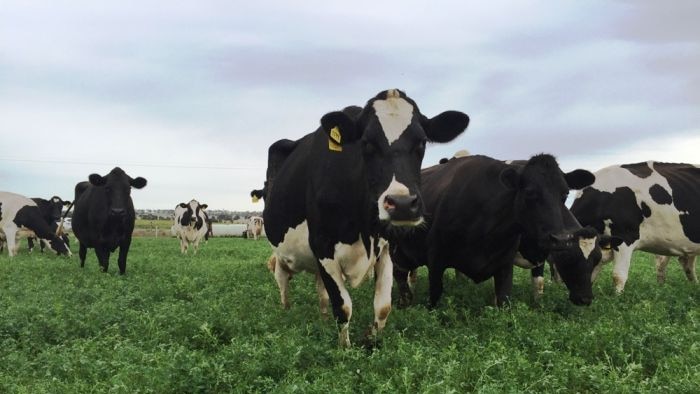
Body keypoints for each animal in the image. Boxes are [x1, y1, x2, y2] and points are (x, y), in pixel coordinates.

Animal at [392, 154, 616, 308]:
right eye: (529, 192)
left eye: (565, 193)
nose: (585, 299)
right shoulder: (436, 259)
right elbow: (435, 297)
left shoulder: (510, 263)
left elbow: (521, 292)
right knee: (401, 275)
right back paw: (405, 302)